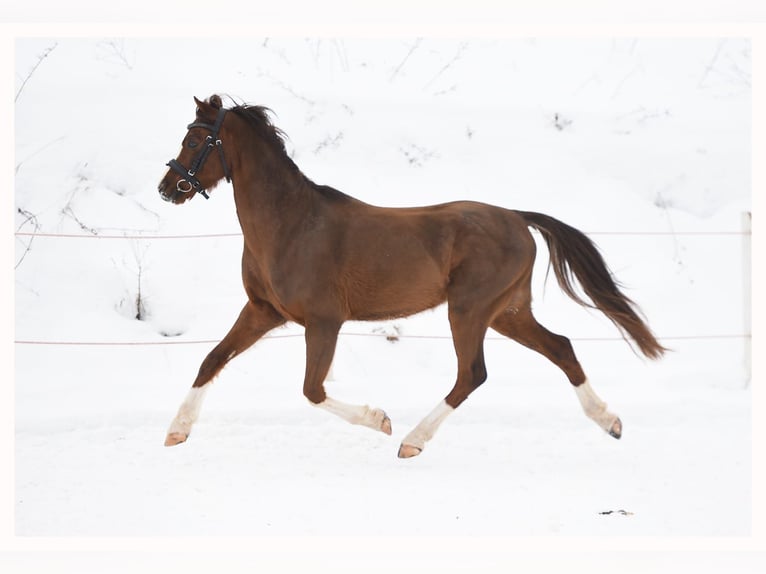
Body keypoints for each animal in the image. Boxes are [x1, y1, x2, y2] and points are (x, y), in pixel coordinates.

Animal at [158, 94, 665, 458]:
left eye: (196, 141)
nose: (168, 188)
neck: (291, 225)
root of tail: (518, 219)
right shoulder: (263, 310)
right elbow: (211, 360)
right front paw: (176, 432)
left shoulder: (323, 321)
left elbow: (312, 390)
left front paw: (379, 419)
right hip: (508, 312)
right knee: (561, 347)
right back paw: (610, 422)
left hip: (470, 310)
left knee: (472, 374)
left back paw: (412, 441)